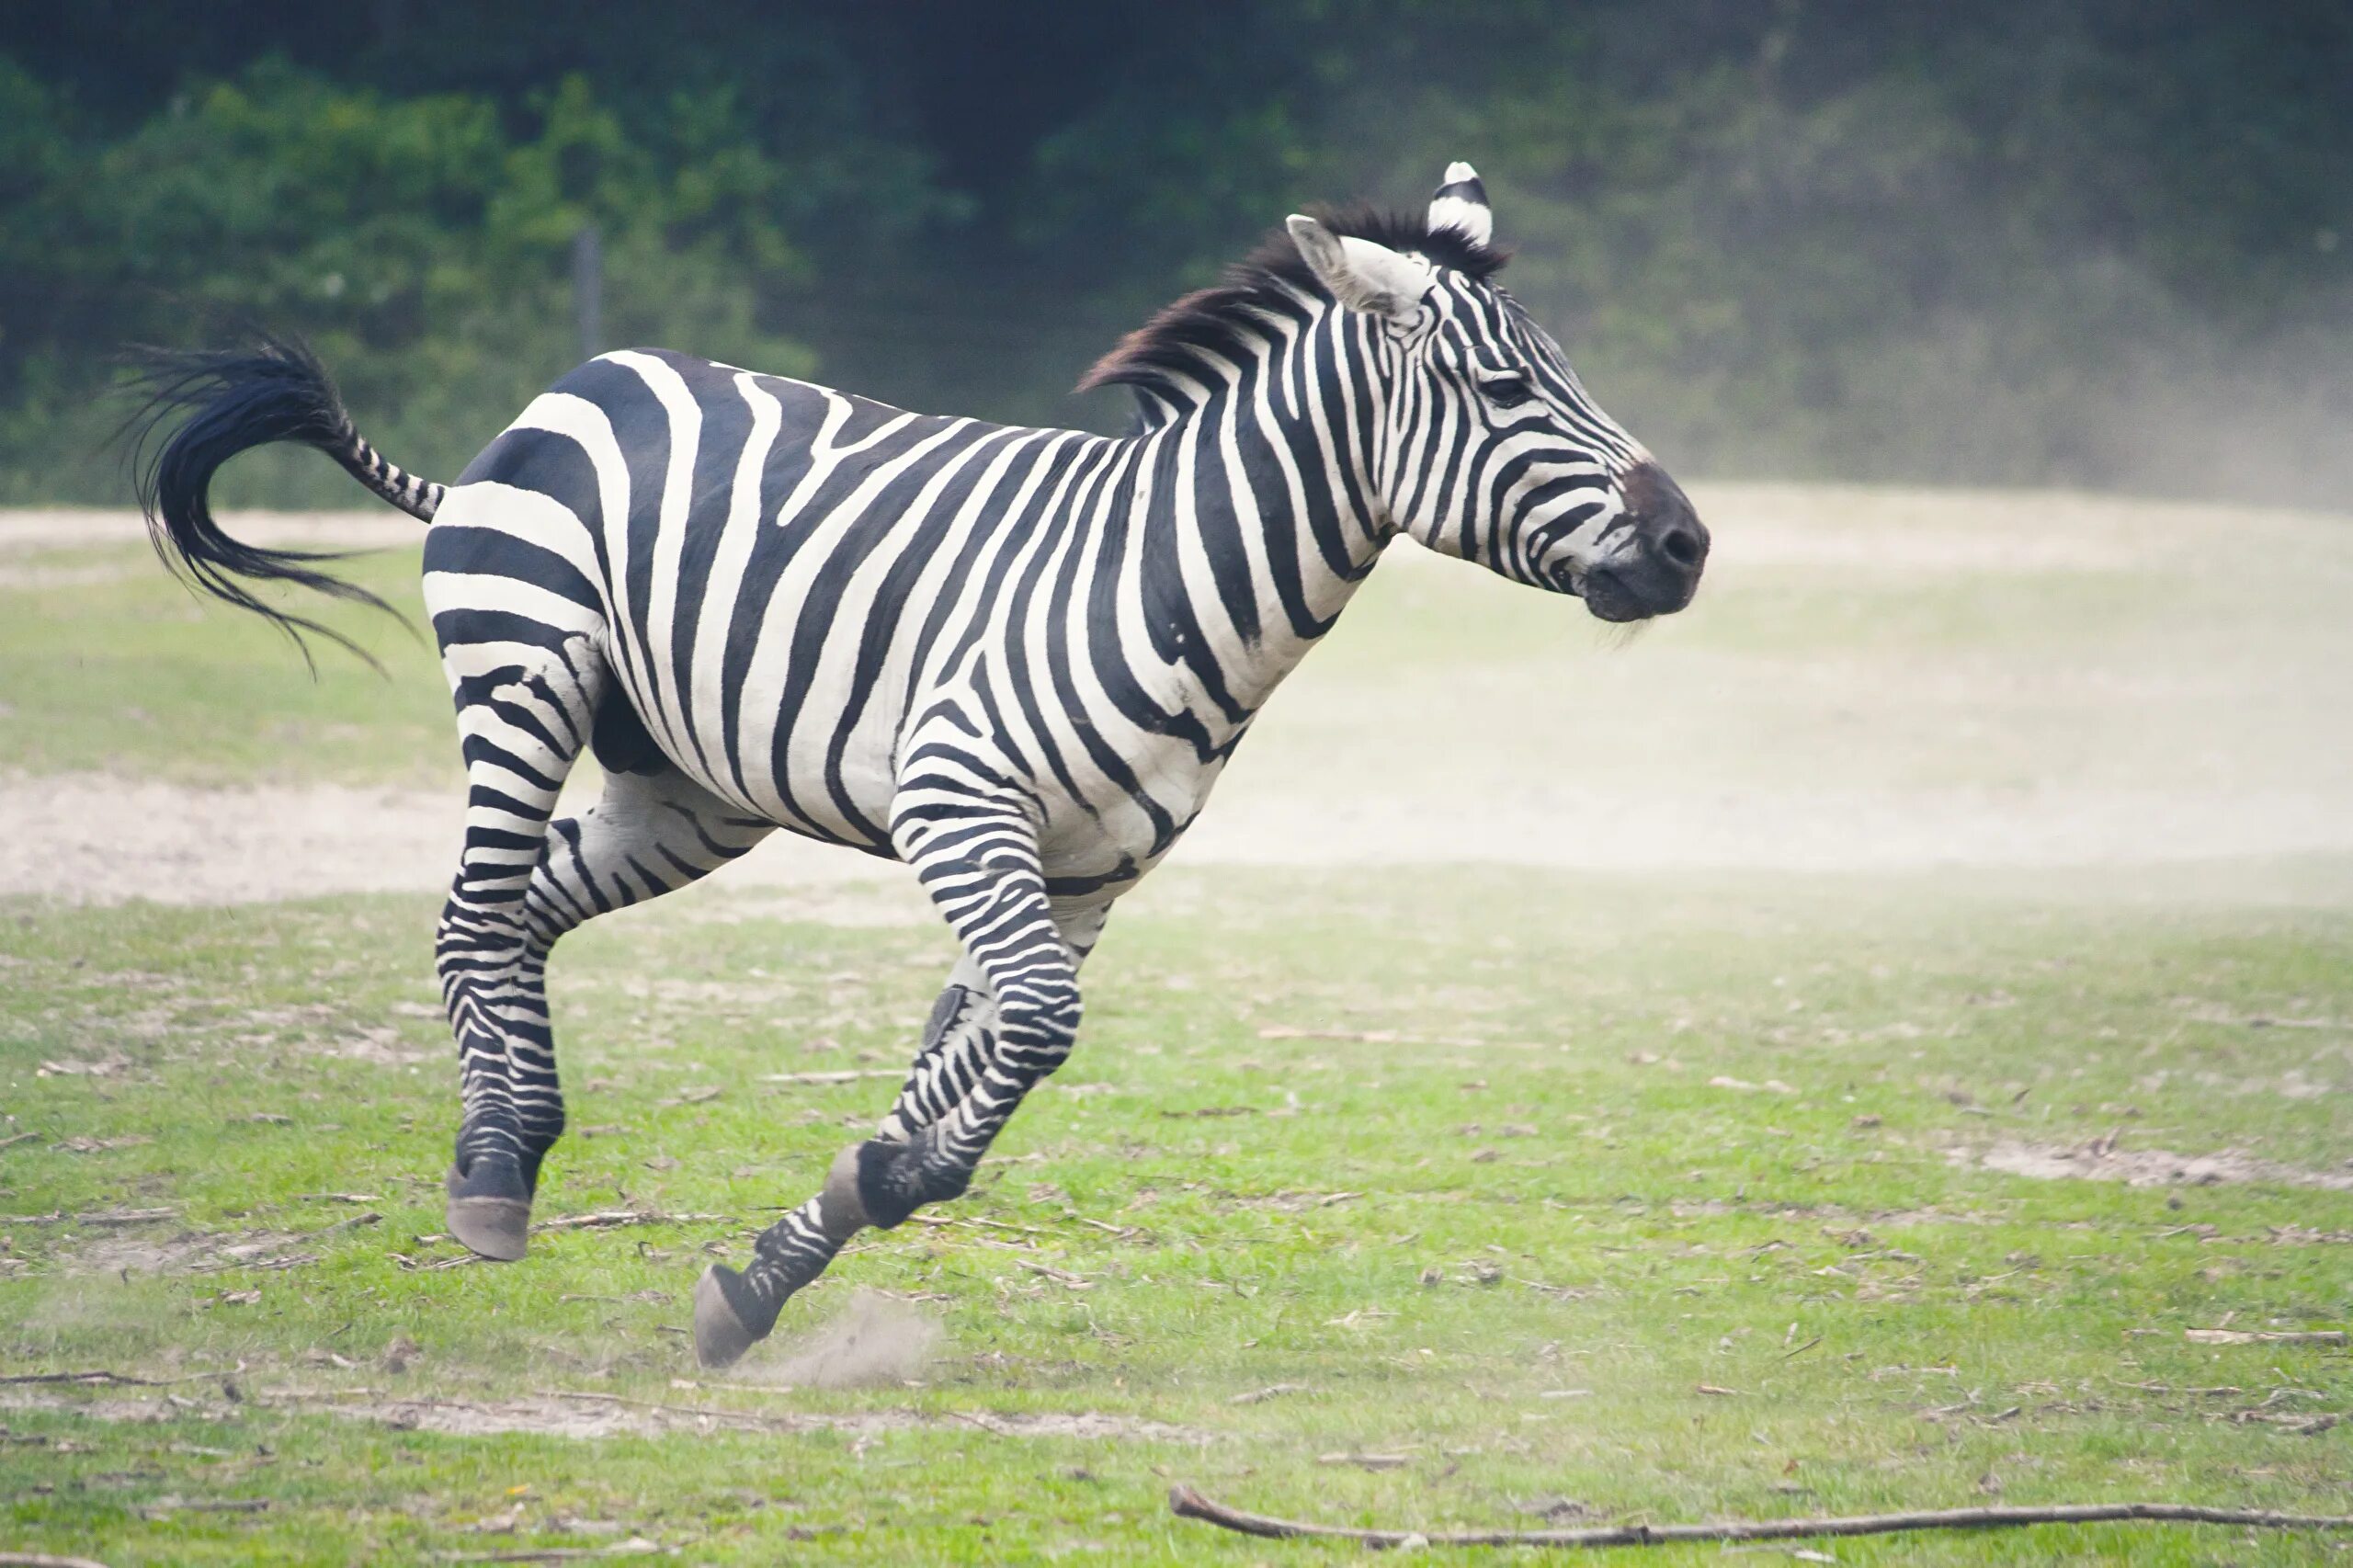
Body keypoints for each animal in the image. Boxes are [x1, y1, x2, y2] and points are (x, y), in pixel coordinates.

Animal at [133, 165, 1712, 1365]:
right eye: (1504, 386)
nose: (1690, 544)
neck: (1165, 580)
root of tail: (578, 378)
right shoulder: (959, 807)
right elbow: (1033, 1031)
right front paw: (869, 1186)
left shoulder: (1087, 875)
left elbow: (985, 1049)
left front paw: (783, 1261)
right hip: (524, 672)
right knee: (470, 909)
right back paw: (488, 1179)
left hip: (688, 792)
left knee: (516, 913)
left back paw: (514, 1150)